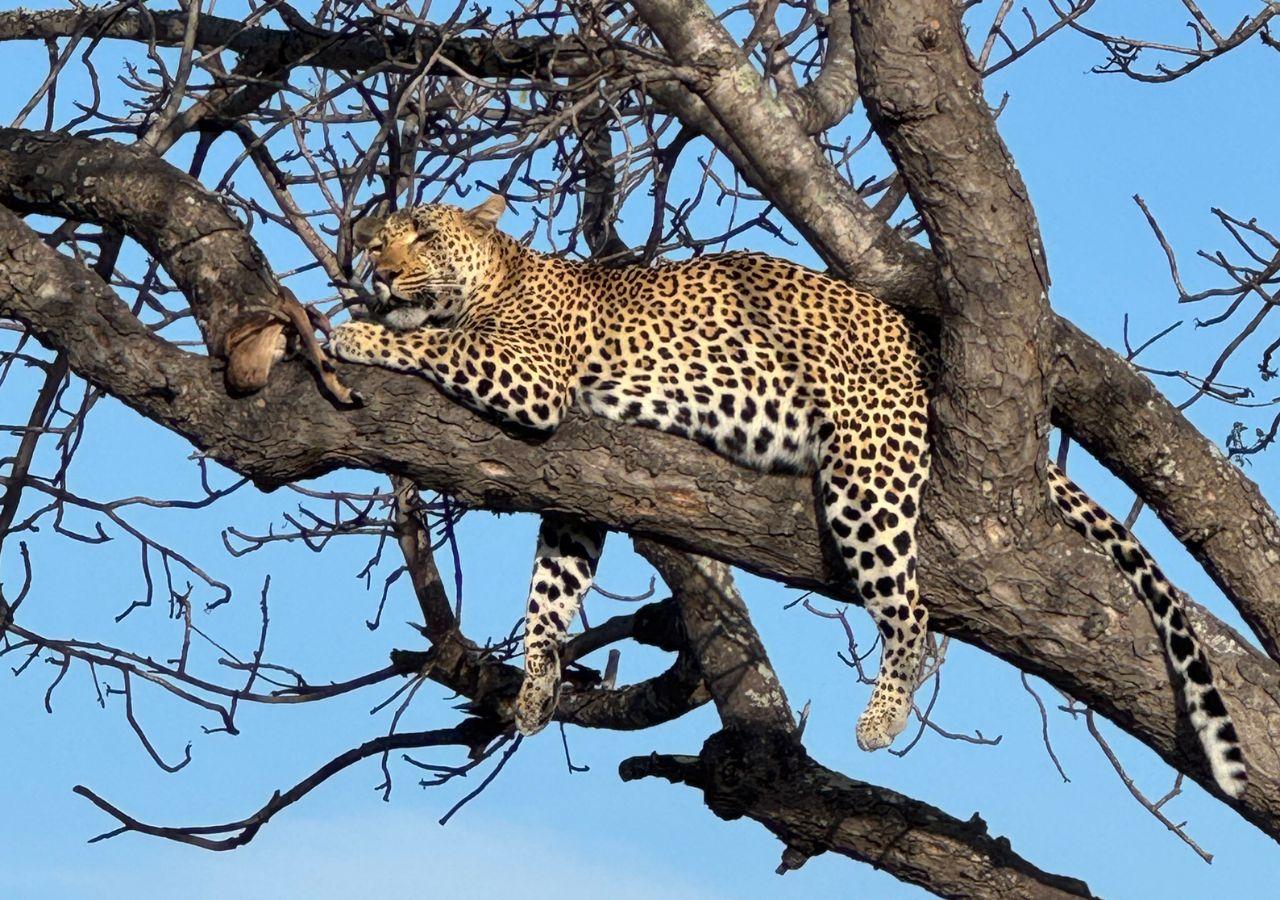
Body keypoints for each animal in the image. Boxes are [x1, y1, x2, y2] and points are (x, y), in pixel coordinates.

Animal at [330, 195, 1247, 798]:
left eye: (421, 236)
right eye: (380, 239)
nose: (376, 270)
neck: (500, 275)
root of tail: (922, 347)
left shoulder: (531, 377)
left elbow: (443, 345)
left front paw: (352, 332)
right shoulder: (576, 500)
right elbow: (550, 595)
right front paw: (533, 688)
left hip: (866, 479)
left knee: (911, 610)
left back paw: (881, 719)